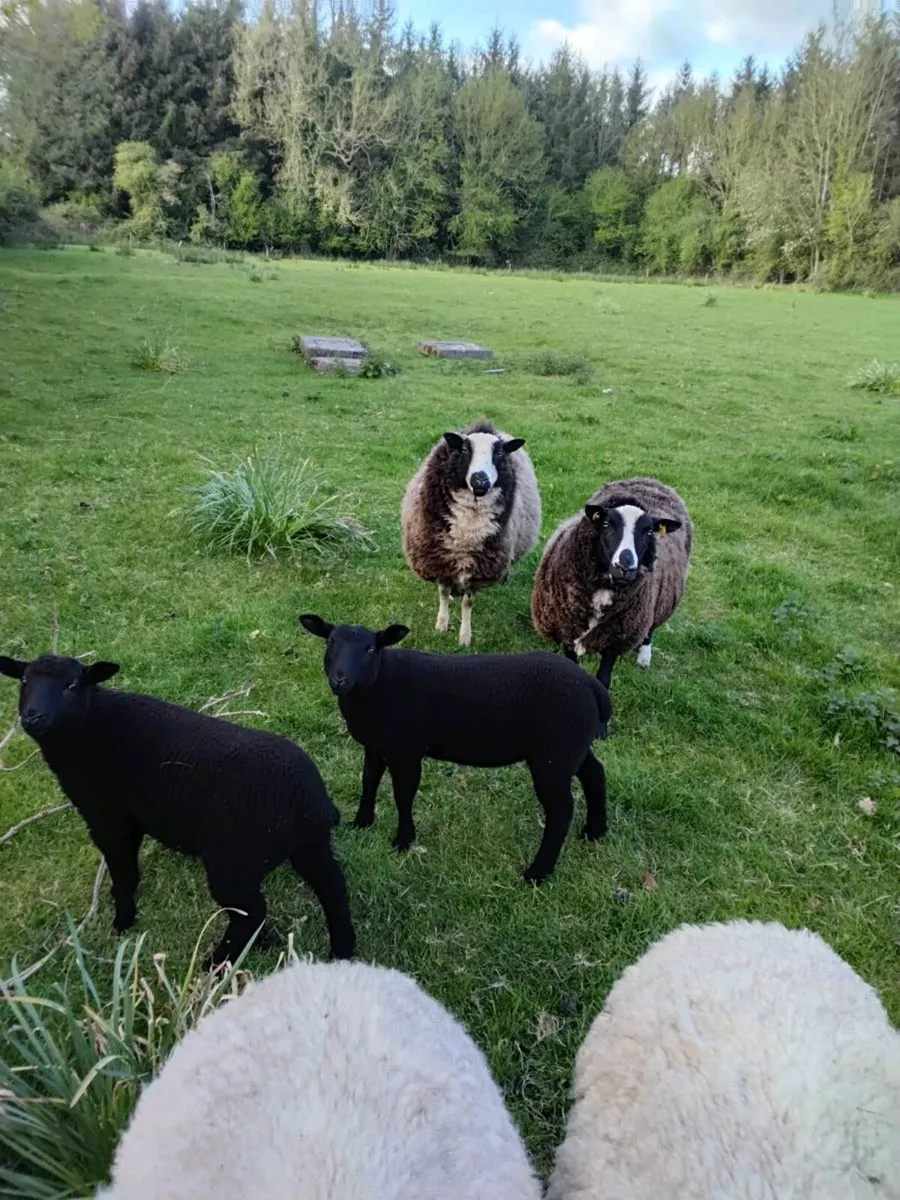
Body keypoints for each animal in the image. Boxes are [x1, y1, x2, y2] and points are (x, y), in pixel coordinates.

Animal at [0, 654, 355, 966]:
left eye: (72, 685)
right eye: (24, 680)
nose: (32, 717)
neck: (89, 727)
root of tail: (312, 801)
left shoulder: (106, 815)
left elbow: (123, 869)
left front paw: (123, 921)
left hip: (235, 862)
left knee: (251, 913)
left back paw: (214, 962)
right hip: (309, 847)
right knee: (334, 889)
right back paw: (341, 953)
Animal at [299, 615, 610, 883]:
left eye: (370, 650)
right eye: (329, 643)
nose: (339, 679)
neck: (378, 684)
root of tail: (593, 686)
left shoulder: (406, 749)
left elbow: (403, 795)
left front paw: (403, 841)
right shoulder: (376, 745)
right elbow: (368, 782)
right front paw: (361, 822)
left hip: (553, 755)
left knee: (561, 810)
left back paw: (538, 872)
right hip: (572, 747)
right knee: (595, 774)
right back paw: (595, 831)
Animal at [401, 419, 541, 647]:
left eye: (499, 453)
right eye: (465, 450)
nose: (480, 480)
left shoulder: (479, 567)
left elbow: (468, 603)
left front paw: (465, 637)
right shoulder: (441, 557)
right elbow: (442, 591)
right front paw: (441, 624)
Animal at [531, 476, 692, 688]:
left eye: (649, 531)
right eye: (606, 524)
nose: (625, 566)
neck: (604, 590)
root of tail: (650, 480)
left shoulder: (615, 641)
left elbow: (604, 680)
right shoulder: (567, 631)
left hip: (656, 604)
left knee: (650, 628)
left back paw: (644, 657)